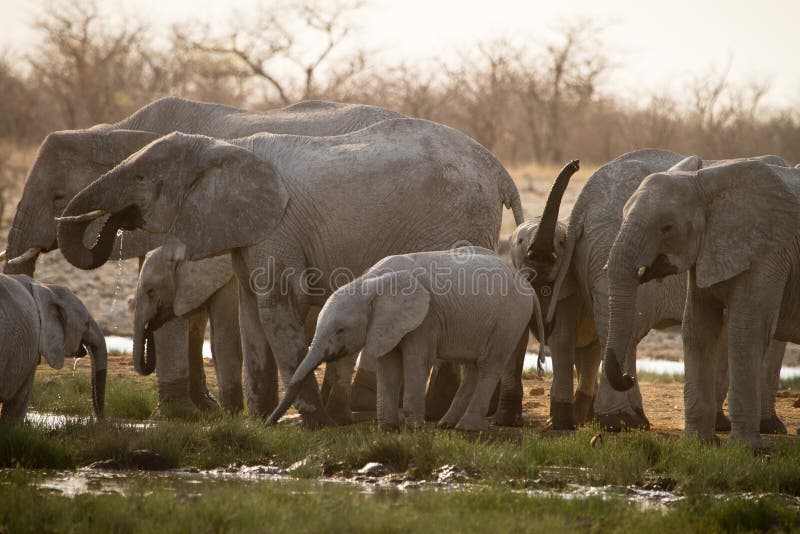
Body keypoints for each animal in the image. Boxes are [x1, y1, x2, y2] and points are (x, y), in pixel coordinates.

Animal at [266, 247, 541, 431]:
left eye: (340, 330)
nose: (268, 423)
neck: (369, 283)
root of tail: (527, 284)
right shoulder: (386, 324)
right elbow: (387, 364)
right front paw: (388, 429)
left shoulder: (426, 318)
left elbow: (416, 360)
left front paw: (414, 429)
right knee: (471, 368)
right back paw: (446, 425)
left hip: (509, 319)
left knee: (488, 366)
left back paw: (467, 428)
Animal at [514, 150, 789, 432]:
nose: (575, 163)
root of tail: (583, 202)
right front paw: (765, 426)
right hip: (607, 245)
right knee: (623, 330)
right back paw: (619, 420)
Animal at [603, 158, 800, 447]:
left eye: (667, 227)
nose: (628, 377)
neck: (704, 183)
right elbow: (698, 328)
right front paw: (697, 443)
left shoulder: (769, 252)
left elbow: (746, 330)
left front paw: (747, 449)